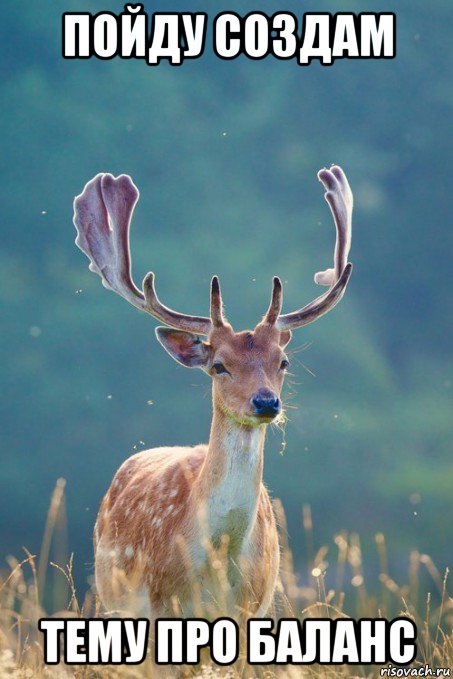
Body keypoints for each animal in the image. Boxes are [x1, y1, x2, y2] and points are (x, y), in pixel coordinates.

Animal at [72, 163, 354, 620]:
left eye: (283, 361)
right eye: (219, 365)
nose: (266, 401)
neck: (219, 561)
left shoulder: (253, 605)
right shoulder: (161, 604)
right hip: (111, 596)